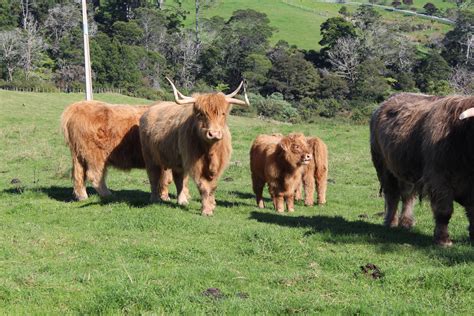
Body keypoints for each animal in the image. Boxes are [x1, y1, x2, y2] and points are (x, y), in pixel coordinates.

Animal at [139, 78, 248, 215]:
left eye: (223, 113)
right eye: (201, 114)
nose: (214, 134)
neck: (210, 151)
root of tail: (150, 109)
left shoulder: (219, 165)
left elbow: (212, 186)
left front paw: (212, 205)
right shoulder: (195, 163)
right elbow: (203, 186)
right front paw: (206, 210)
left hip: (177, 161)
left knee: (179, 179)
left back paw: (182, 200)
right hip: (150, 156)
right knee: (153, 176)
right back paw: (155, 198)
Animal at [370, 92, 474, 246]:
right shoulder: (438, 179)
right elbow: (444, 211)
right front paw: (443, 240)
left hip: (406, 170)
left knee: (407, 196)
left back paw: (406, 223)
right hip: (384, 167)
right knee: (392, 195)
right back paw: (391, 222)